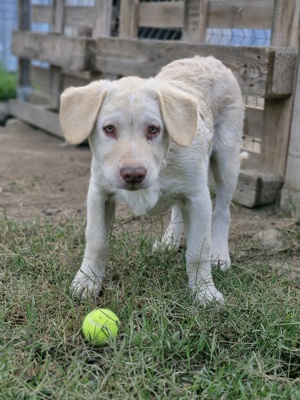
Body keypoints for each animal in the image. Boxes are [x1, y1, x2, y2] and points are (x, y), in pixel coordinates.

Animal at [60, 56, 244, 304]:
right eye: (109, 129)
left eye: (154, 129)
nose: (133, 174)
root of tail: (208, 59)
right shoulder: (99, 191)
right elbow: (96, 240)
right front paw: (87, 281)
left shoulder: (198, 196)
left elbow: (198, 250)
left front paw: (204, 291)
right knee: (178, 208)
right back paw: (169, 241)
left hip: (227, 158)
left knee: (223, 210)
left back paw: (220, 255)